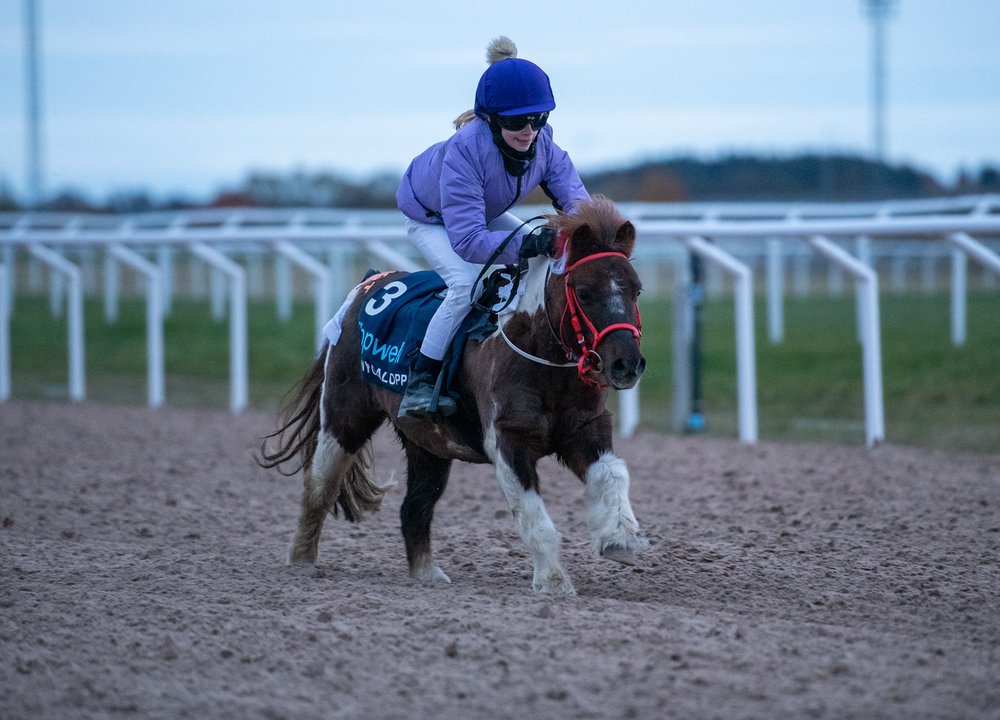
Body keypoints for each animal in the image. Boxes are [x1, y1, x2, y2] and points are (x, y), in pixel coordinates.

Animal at [258, 194, 648, 592]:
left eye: (636, 289)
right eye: (584, 292)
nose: (627, 364)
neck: (538, 354)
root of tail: (367, 285)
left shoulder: (586, 428)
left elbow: (613, 474)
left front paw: (618, 538)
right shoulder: (507, 438)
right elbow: (532, 513)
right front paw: (553, 582)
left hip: (429, 445)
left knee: (414, 507)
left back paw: (428, 574)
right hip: (344, 416)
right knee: (319, 486)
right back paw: (301, 561)